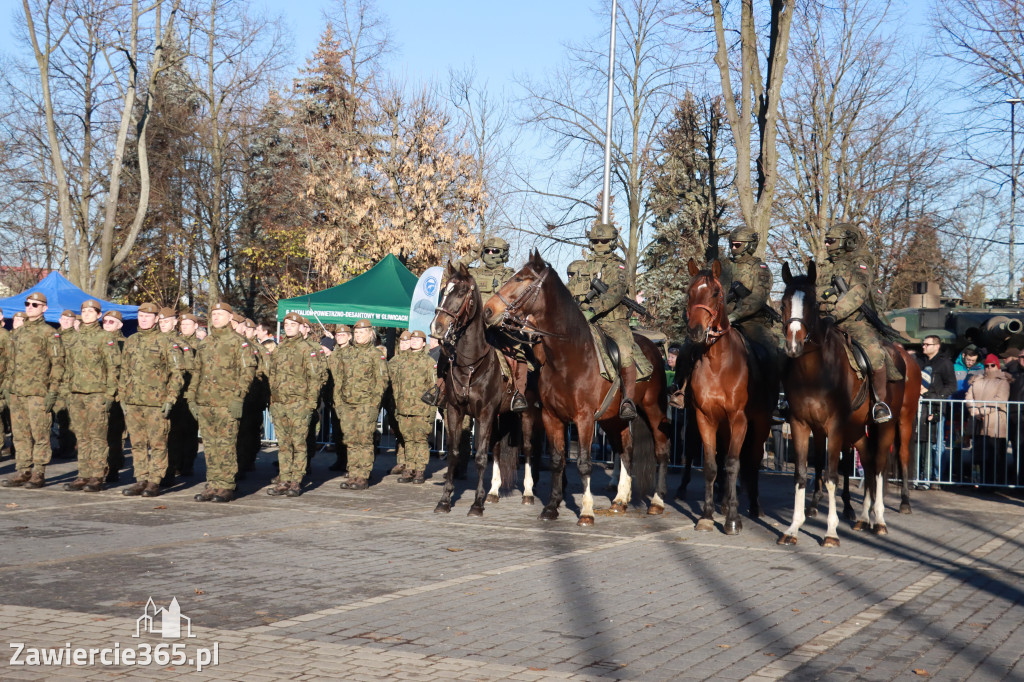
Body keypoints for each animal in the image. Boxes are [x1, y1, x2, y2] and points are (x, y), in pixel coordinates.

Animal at [430, 262, 544, 512]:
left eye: (462, 292)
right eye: (443, 291)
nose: (437, 327)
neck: (471, 363)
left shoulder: (485, 412)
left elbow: (481, 456)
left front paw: (476, 504)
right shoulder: (455, 410)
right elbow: (454, 452)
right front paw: (445, 499)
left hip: (527, 414)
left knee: (528, 449)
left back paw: (528, 492)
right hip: (502, 416)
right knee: (498, 449)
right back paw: (493, 491)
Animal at [481, 248, 671, 520]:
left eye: (520, 279)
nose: (487, 310)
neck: (566, 356)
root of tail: (653, 347)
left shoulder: (584, 419)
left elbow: (583, 463)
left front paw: (587, 511)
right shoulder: (551, 417)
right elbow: (557, 460)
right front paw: (551, 506)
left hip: (653, 410)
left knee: (661, 449)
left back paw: (657, 500)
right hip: (614, 418)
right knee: (626, 449)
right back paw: (620, 499)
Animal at [667, 258, 778, 532]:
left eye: (716, 293)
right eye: (689, 292)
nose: (695, 332)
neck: (718, 363)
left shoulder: (739, 420)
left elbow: (732, 464)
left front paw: (733, 520)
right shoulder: (705, 417)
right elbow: (710, 464)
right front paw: (707, 515)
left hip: (760, 424)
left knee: (752, 461)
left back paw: (754, 505)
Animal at [778, 260, 925, 548]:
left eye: (811, 302)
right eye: (784, 303)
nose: (793, 345)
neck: (813, 372)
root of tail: (900, 354)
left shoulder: (834, 427)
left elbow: (833, 476)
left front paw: (831, 532)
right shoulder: (801, 424)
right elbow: (800, 475)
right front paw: (793, 527)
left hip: (891, 423)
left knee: (880, 464)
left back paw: (880, 518)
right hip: (857, 428)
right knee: (867, 461)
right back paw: (864, 517)